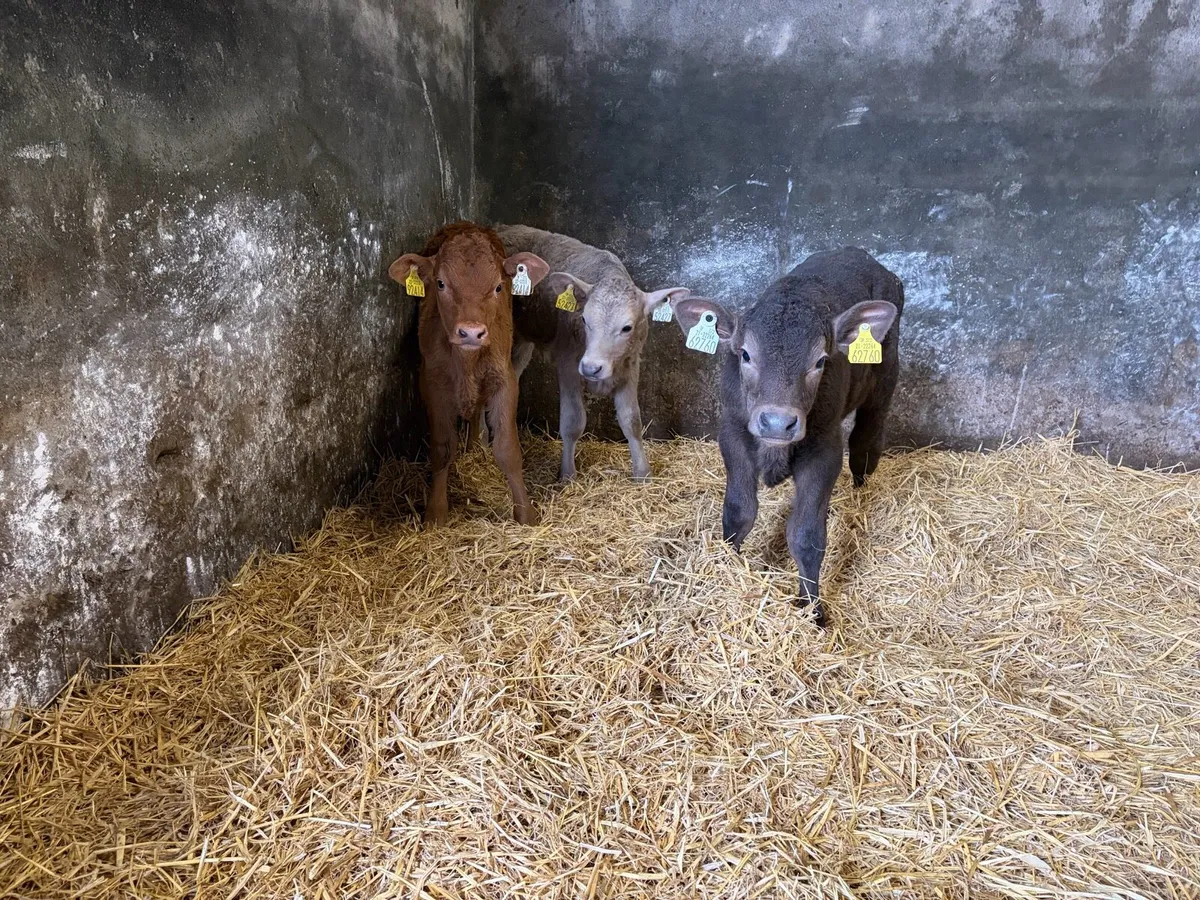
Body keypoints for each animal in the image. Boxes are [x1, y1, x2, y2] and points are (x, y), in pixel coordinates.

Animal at [388, 222, 550, 526]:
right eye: (440, 283)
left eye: (498, 286)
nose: (471, 332)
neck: (466, 363)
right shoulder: (432, 383)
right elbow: (442, 448)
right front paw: (436, 513)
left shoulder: (505, 379)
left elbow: (508, 449)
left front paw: (526, 515)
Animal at [478, 225, 690, 482]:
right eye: (584, 319)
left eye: (627, 327)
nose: (591, 367)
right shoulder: (569, 363)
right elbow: (573, 421)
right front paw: (567, 475)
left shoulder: (631, 364)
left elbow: (631, 420)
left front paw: (643, 473)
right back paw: (480, 438)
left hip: (522, 342)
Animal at [670, 247, 904, 627]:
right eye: (745, 354)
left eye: (820, 361)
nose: (778, 423)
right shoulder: (732, 432)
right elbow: (739, 511)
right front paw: (726, 566)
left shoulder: (824, 449)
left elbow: (806, 535)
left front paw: (812, 608)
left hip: (884, 380)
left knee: (865, 445)